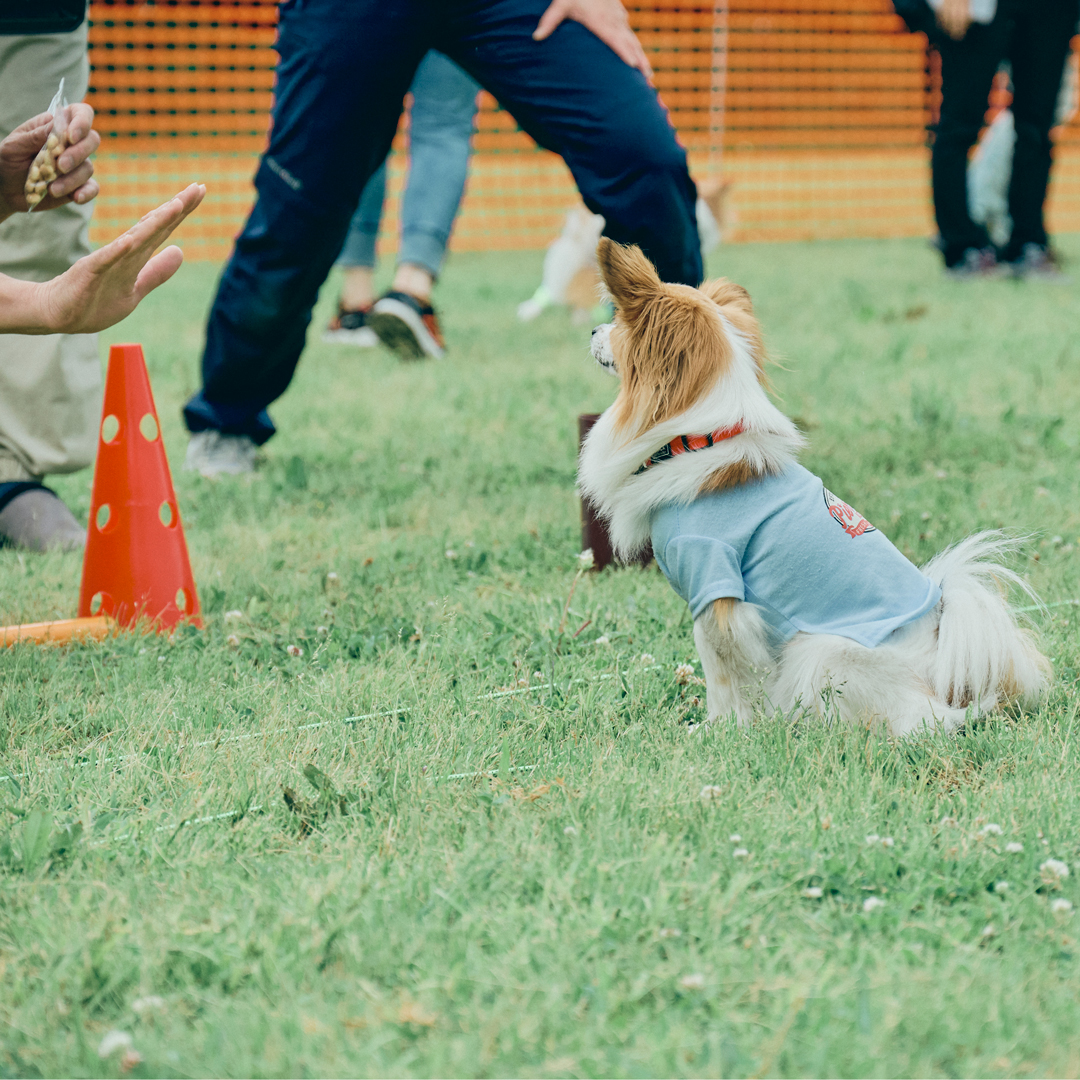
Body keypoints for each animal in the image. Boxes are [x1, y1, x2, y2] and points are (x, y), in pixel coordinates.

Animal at [578, 239, 1049, 738]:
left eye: (619, 324)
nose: (592, 329)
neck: (701, 437)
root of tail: (948, 674)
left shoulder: (715, 589)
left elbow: (722, 676)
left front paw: (719, 730)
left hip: (819, 649)